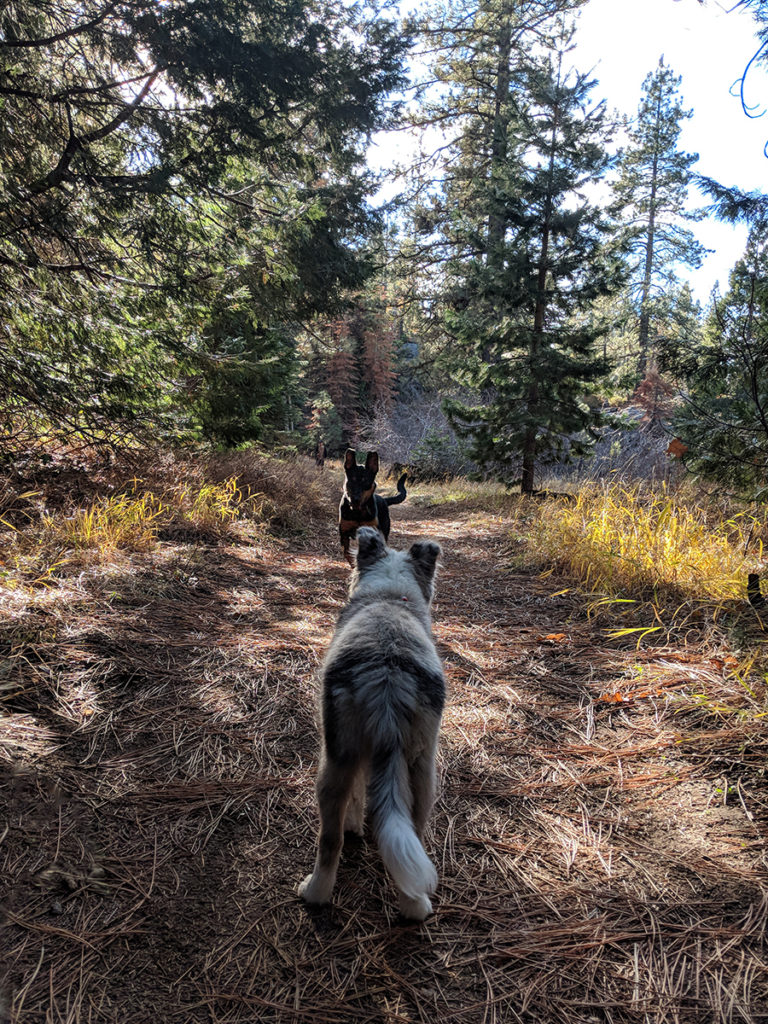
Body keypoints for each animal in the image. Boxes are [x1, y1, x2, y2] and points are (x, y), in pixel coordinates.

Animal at [299, 528, 444, 921]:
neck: (390, 596)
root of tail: (387, 676)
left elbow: (357, 796)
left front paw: (354, 824)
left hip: (333, 760)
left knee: (329, 841)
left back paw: (313, 892)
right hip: (422, 769)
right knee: (411, 836)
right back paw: (415, 906)